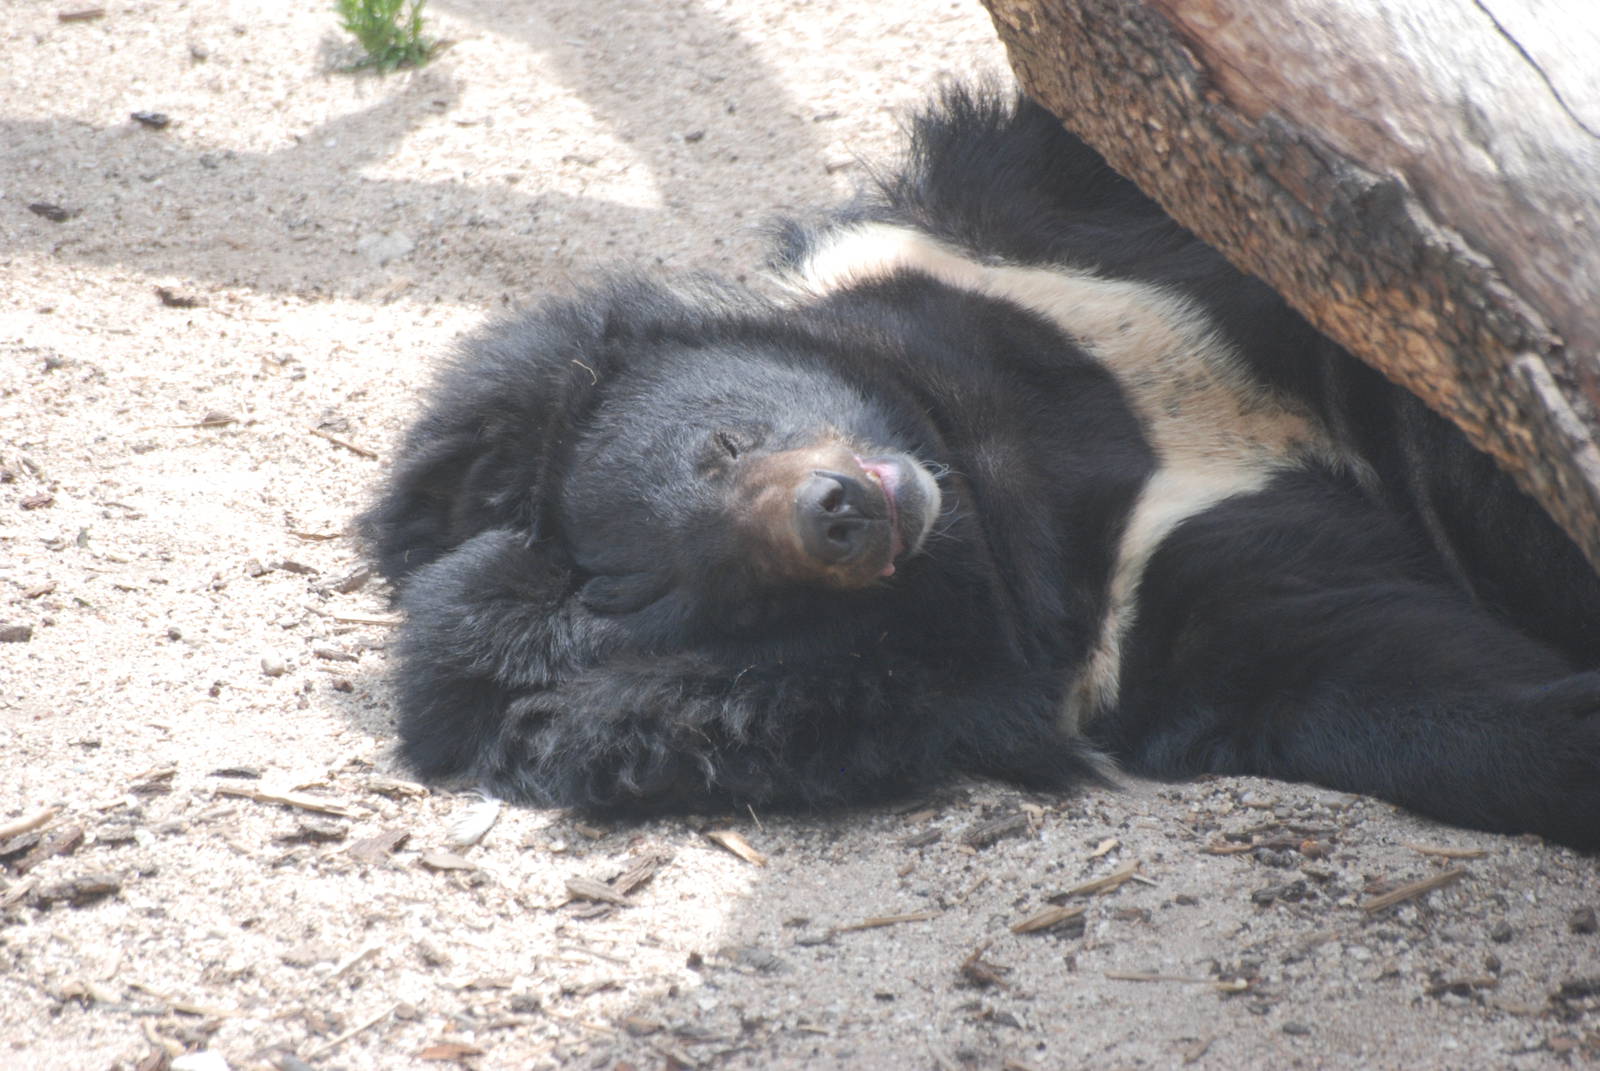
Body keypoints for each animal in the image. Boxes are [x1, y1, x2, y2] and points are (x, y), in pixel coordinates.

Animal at [361, 87, 1600, 849]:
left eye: (722, 448)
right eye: (738, 601)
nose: (842, 514)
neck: (992, 465)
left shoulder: (1011, 236)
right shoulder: (1171, 618)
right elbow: (1416, 688)